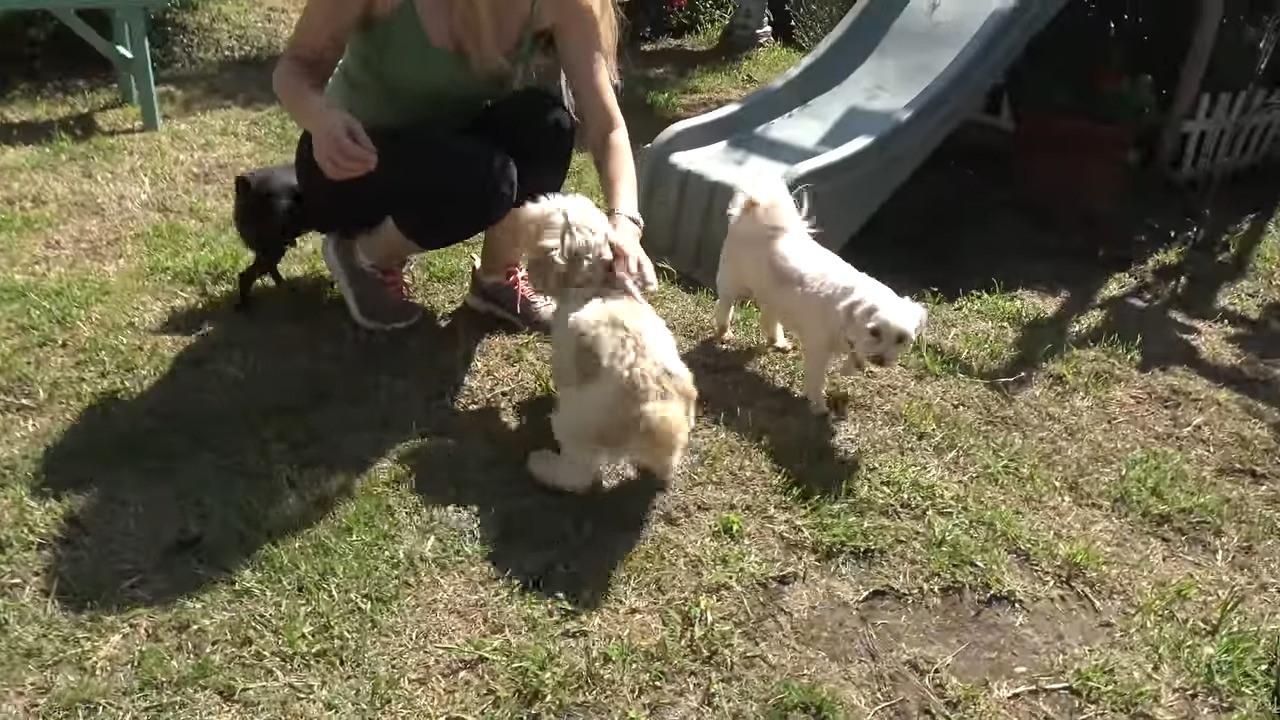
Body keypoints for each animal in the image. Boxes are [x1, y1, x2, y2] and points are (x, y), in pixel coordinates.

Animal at [509, 192, 701, 491]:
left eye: (547, 215)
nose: (523, 210)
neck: (597, 287)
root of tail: (660, 421)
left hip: (575, 425)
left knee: (579, 475)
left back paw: (542, 466)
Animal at [711, 175, 931, 415]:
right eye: (874, 332)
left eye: (901, 339)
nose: (880, 359)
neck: (846, 312)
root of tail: (756, 211)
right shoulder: (818, 350)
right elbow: (816, 381)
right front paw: (818, 405)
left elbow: (854, 356)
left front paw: (851, 368)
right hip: (733, 281)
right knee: (726, 306)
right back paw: (724, 332)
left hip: (774, 294)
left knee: (768, 318)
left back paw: (777, 341)